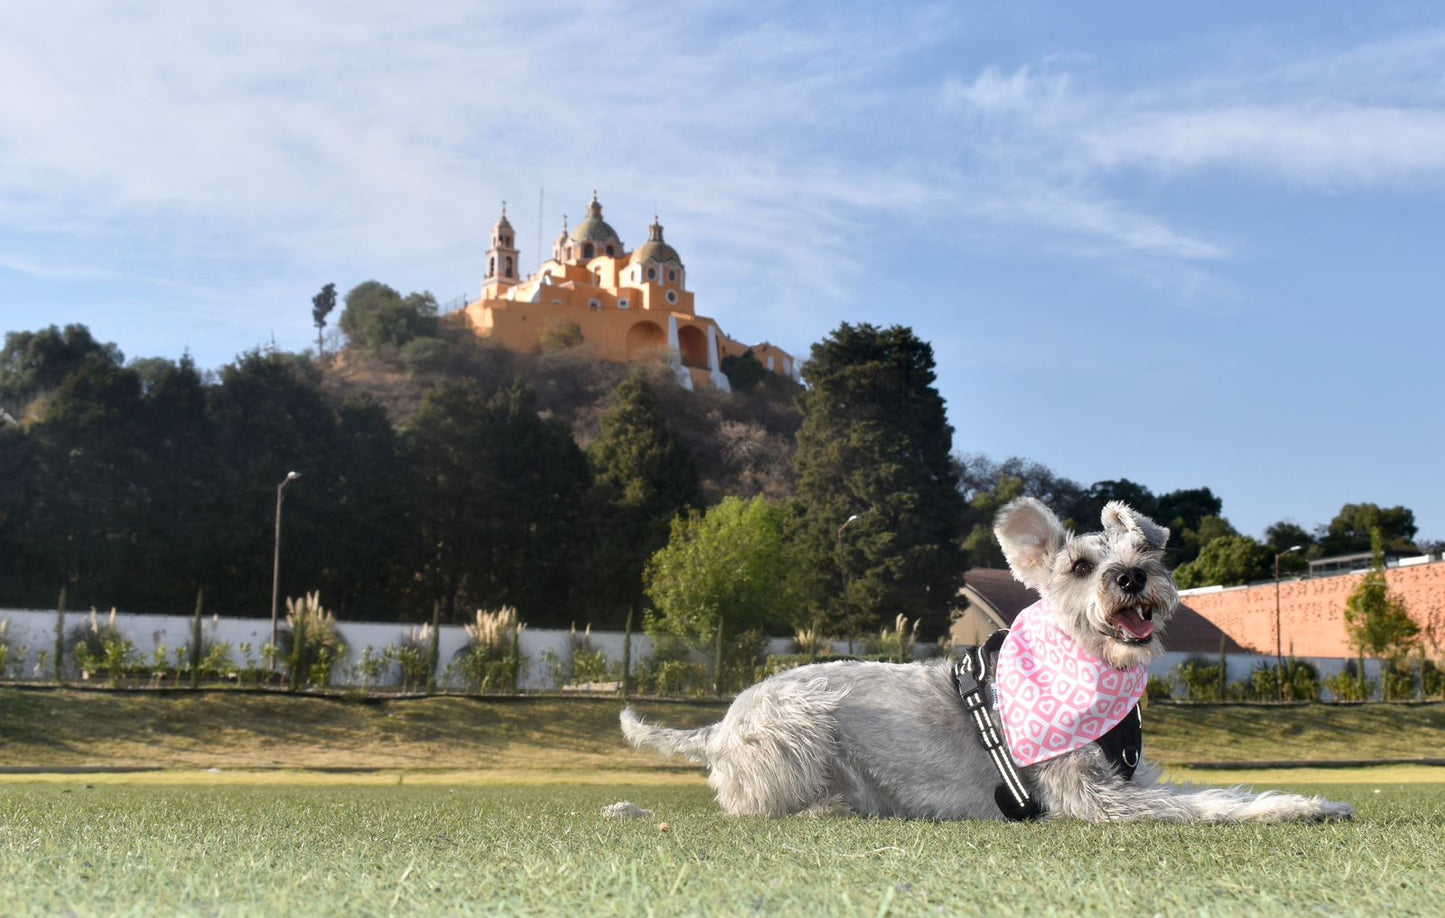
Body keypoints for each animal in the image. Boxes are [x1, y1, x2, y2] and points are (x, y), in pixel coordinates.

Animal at [621, 500, 1352, 821]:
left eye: (1146, 551)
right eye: (1079, 565)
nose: (1131, 578)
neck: (1094, 669)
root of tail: (719, 725)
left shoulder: (1130, 774)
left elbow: (1208, 790)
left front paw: (1300, 797)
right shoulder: (1093, 794)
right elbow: (1200, 806)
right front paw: (1294, 806)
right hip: (799, 737)